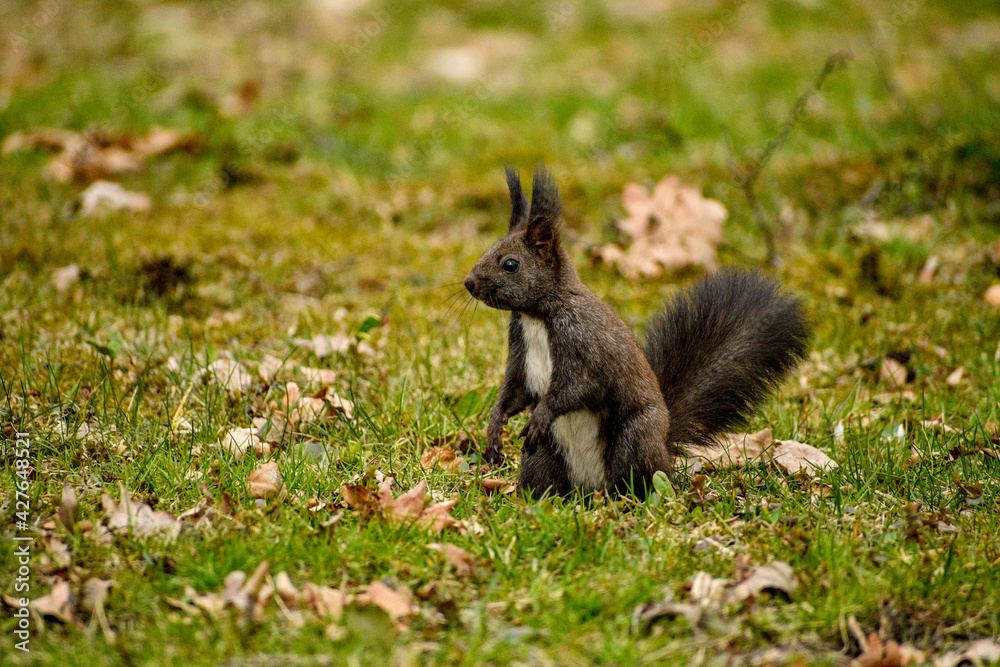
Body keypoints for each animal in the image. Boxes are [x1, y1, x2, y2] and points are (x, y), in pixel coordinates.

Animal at [463, 166, 810, 499]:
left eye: (510, 264)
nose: (469, 283)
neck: (537, 316)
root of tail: (592, 486)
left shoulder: (585, 344)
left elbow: (576, 388)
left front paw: (541, 414)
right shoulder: (520, 348)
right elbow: (514, 391)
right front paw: (494, 428)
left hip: (635, 437)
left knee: (638, 478)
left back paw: (629, 499)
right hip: (543, 455)